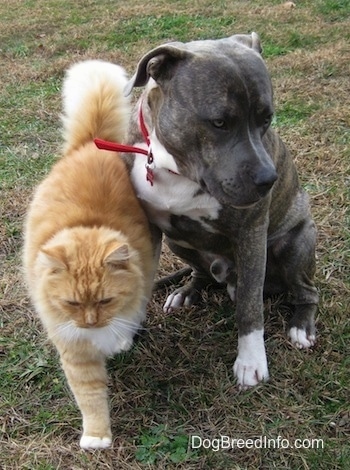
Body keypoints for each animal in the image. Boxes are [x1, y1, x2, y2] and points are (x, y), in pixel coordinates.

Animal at [22, 60, 158, 450]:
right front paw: (97, 436)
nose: (90, 323)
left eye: (105, 300)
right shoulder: (75, 350)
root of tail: (91, 145)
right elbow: (91, 396)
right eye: (72, 304)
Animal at [121, 31, 318, 388]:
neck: (176, 168)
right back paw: (187, 291)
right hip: (179, 243)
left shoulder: (251, 233)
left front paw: (251, 361)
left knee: (306, 291)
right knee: (200, 272)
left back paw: (301, 326)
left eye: (266, 119)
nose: (269, 179)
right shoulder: (148, 229)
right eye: (219, 122)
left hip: (296, 244)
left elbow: (250, 307)